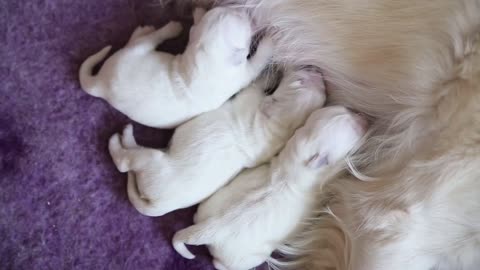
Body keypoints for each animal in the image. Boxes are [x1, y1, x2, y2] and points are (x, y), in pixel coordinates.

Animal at [79, 6, 274, 128]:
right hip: (133, 53)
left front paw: (198, 13)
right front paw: (269, 41)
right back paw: (169, 28)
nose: (244, 10)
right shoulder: (241, 75)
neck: (199, 62)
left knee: (134, 41)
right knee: (149, 39)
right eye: (241, 19)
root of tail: (99, 84)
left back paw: (142, 30)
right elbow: (257, 62)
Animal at [109, 68, 326, 217]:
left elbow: (254, 86)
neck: (280, 126)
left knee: (125, 162)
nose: (318, 73)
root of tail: (156, 206)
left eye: (298, 81)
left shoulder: (250, 98)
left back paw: (121, 138)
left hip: (151, 162)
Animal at [172, 106, 368, 270]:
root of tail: (208, 230)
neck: (292, 167)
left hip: (209, 206)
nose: (362, 115)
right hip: (243, 258)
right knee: (221, 264)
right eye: (353, 124)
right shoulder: (325, 183)